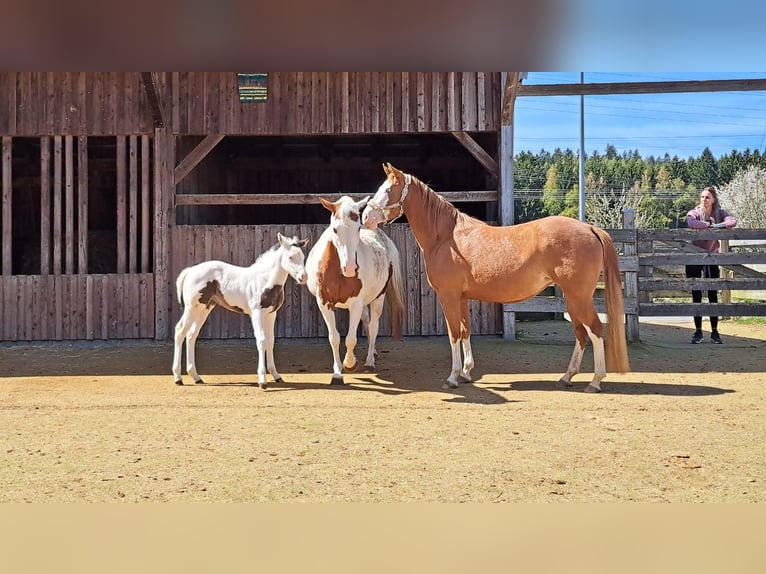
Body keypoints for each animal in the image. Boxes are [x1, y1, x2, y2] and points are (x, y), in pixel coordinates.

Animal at [172, 233, 309, 389]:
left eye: (302, 256)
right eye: (290, 257)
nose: (303, 278)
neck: (265, 280)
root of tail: (190, 271)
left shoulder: (271, 314)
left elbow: (270, 341)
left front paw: (276, 375)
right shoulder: (256, 314)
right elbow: (261, 340)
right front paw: (262, 380)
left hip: (204, 308)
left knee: (191, 335)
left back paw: (196, 377)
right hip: (192, 308)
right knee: (180, 331)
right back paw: (178, 377)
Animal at [306, 195, 405, 385]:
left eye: (358, 228)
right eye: (335, 229)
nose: (351, 268)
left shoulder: (356, 304)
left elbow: (351, 339)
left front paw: (349, 363)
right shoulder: (324, 303)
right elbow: (334, 338)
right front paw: (337, 373)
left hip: (378, 298)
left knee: (373, 326)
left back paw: (370, 361)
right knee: (366, 322)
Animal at [362, 163, 629, 393]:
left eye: (388, 190)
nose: (366, 218)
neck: (446, 237)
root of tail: (590, 228)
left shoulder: (449, 296)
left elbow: (453, 334)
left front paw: (453, 377)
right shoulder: (462, 298)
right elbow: (465, 331)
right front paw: (466, 373)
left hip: (579, 297)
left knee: (595, 330)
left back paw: (595, 381)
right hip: (572, 299)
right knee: (581, 333)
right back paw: (566, 377)